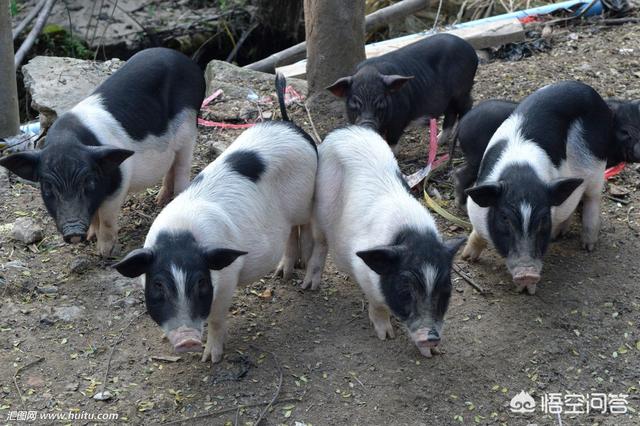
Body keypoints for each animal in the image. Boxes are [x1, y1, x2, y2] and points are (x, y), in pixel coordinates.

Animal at [0, 48, 205, 255]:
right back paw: (159, 201)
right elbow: (94, 215)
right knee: (171, 166)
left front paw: (104, 252)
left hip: (188, 128)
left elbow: (105, 217)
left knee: (182, 167)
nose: (74, 233)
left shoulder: (119, 184)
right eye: (48, 186)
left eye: (88, 182)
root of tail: (188, 63)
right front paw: (90, 237)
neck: (66, 141)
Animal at [114, 75, 318, 364]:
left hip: (306, 198)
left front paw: (210, 359)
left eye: (201, 282)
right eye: (158, 285)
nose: (186, 340)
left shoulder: (228, 279)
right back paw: (282, 274)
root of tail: (290, 125)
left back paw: (297, 274)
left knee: (304, 226)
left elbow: (217, 319)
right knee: (290, 233)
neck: (180, 236)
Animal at [304, 125, 464, 356]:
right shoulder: (362, 271)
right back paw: (310, 286)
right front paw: (386, 336)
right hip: (318, 206)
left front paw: (430, 354)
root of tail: (344, 130)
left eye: (445, 291)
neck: (411, 234)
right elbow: (378, 306)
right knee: (320, 243)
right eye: (406, 291)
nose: (431, 338)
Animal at [328, 34, 478, 152]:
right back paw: (439, 141)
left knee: (468, 106)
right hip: (449, 99)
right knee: (451, 113)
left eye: (381, 102)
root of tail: (471, 50)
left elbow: (392, 141)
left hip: (462, 91)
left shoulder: (399, 118)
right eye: (355, 102)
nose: (367, 125)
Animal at [462, 80, 612, 294]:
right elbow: (478, 233)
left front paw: (528, 289)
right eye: (504, 217)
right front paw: (467, 257)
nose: (527, 273)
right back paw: (559, 235)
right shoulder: (475, 208)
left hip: (598, 166)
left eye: (542, 218)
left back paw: (588, 246)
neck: (521, 173)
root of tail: (589, 91)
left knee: (593, 198)